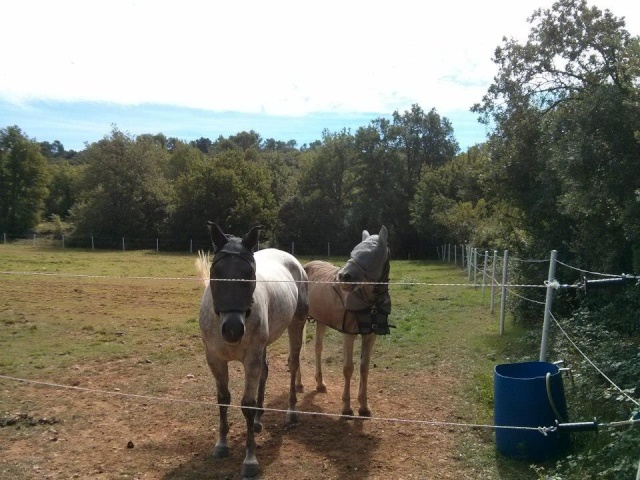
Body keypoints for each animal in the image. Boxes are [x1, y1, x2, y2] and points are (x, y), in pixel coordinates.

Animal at [196, 221, 308, 476]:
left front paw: (250, 459)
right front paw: (221, 444)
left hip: (296, 325)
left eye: (249, 274)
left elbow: (246, 403)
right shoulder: (215, 359)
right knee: (265, 373)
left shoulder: (251, 359)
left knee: (293, 363)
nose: (233, 330)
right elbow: (223, 398)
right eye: (216, 273)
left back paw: (291, 412)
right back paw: (258, 420)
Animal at [304, 225, 390, 416]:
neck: (369, 303)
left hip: (321, 321)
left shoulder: (370, 336)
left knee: (318, 348)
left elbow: (364, 368)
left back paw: (320, 384)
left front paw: (364, 406)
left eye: (371, 254)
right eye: (353, 251)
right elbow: (348, 368)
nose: (343, 277)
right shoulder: (349, 334)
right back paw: (298, 384)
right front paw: (346, 407)